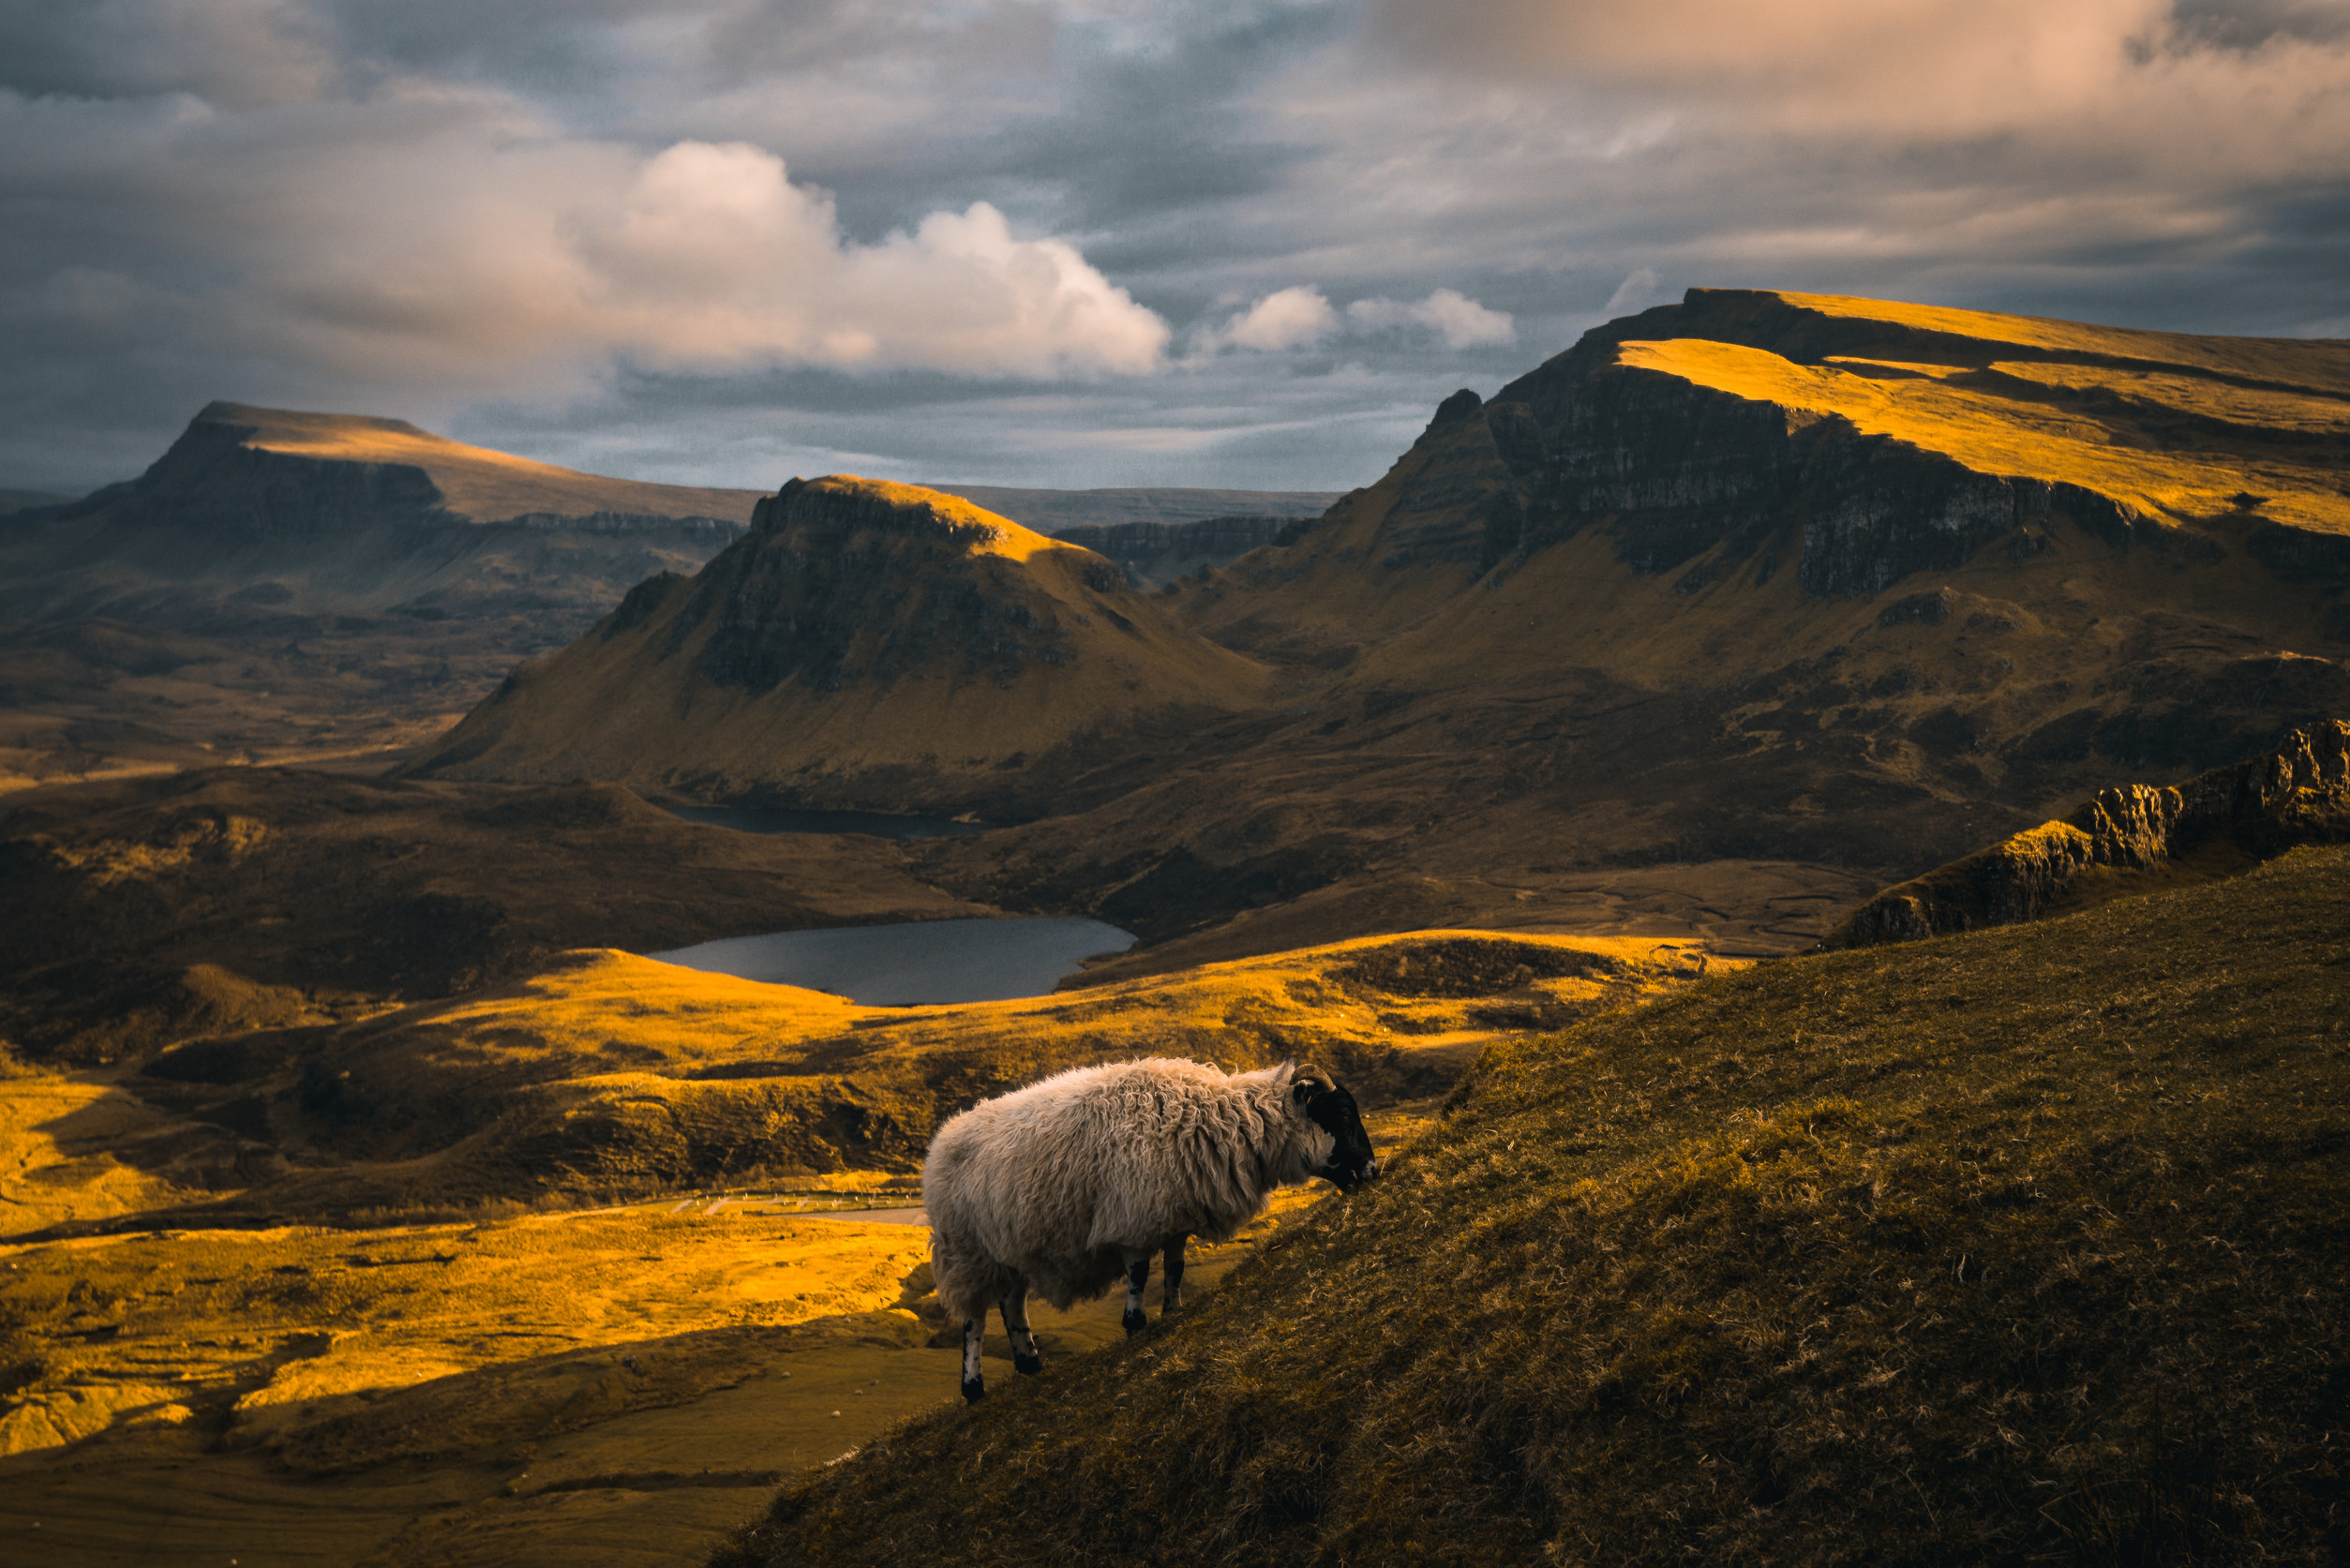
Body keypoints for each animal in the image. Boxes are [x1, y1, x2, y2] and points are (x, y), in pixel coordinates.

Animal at [923, 1056, 1379, 1404]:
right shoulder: (1132, 1222)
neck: (1217, 1122)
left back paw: (1030, 1364)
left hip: (1008, 1251)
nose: (1374, 1172)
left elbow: (1175, 1270)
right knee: (974, 1321)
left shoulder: (1175, 1218)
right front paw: (1134, 1325)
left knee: (1012, 1305)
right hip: (967, 1252)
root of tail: (942, 1141)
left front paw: (1172, 1312)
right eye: (1341, 1114)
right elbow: (1140, 1276)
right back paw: (973, 1387)